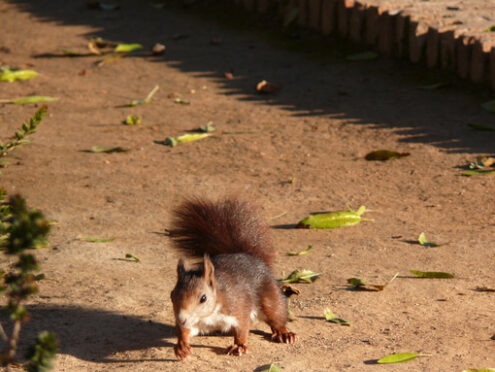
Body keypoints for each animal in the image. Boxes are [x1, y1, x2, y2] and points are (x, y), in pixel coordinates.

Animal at [170, 198, 296, 360]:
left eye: (203, 298)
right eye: (172, 295)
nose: (181, 319)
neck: (210, 314)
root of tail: (252, 257)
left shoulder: (238, 306)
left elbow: (242, 328)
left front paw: (239, 346)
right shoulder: (193, 322)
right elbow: (185, 331)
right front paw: (181, 346)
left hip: (270, 297)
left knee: (277, 314)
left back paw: (283, 333)